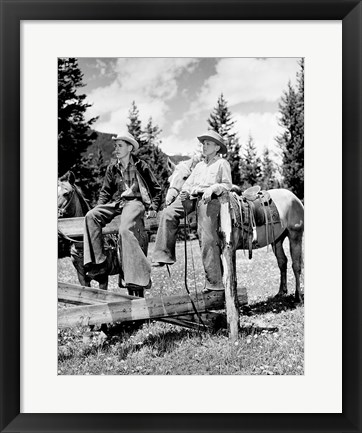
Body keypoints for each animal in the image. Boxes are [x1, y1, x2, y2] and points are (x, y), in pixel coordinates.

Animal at [167, 157, 306, 302]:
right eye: (169, 179)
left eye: (185, 177)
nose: (169, 199)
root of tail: (295, 198)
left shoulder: (230, 248)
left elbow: (232, 278)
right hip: (277, 240)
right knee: (282, 262)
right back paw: (281, 292)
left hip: (295, 235)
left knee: (296, 265)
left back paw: (298, 296)